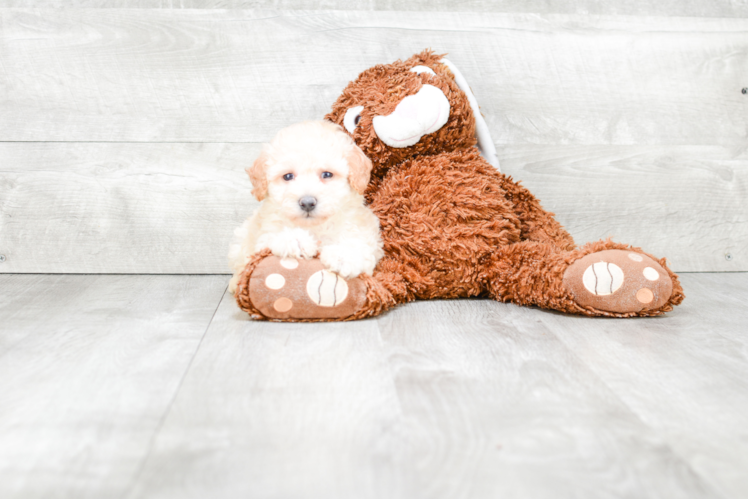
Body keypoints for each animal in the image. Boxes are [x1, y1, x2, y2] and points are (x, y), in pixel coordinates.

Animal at [226, 120, 380, 292]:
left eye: (327, 174)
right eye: (288, 176)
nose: (307, 203)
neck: (315, 227)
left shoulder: (362, 233)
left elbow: (360, 245)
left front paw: (343, 255)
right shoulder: (263, 237)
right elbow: (272, 239)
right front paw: (297, 241)